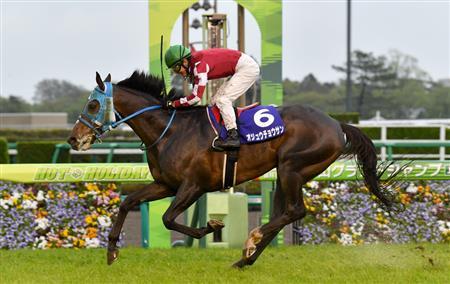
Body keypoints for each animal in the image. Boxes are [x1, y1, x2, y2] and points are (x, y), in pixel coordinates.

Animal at [68, 72, 396, 268]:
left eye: (93, 104)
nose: (73, 138)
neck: (170, 130)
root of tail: (336, 124)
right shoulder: (166, 184)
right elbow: (127, 203)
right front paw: (112, 250)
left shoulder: (193, 186)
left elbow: (168, 218)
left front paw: (212, 227)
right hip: (285, 172)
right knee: (283, 214)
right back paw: (245, 259)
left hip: (292, 167)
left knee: (294, 211)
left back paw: (251, 241)